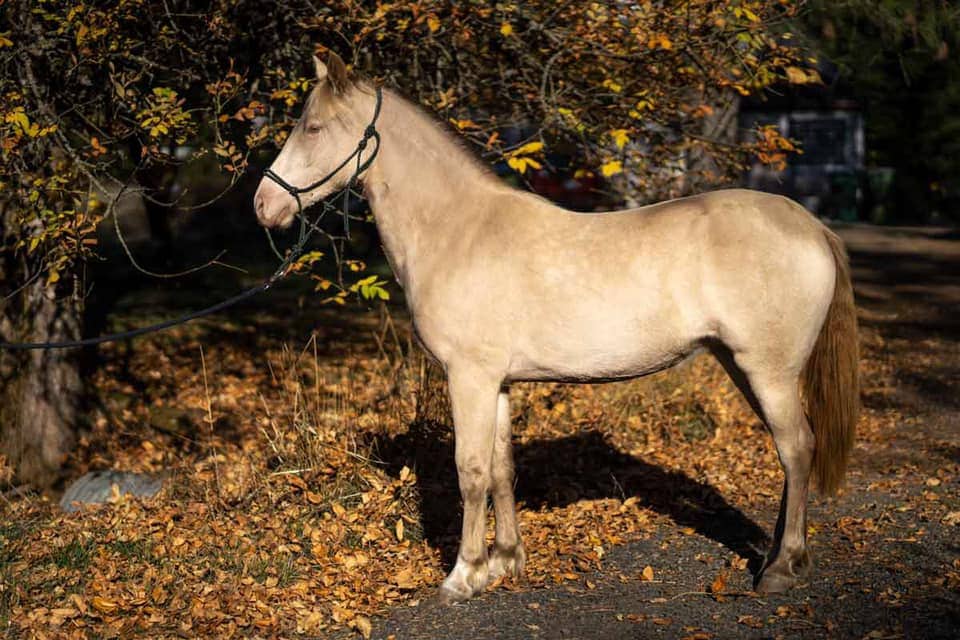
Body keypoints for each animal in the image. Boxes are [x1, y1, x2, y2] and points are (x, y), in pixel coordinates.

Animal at [251, 51, 860, 604]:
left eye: (312, 127)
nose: (263, 205)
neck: (457, 229)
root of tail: (810, 224)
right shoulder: (496, 382)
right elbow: (501, 469)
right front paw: (503, 562)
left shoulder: (468, 378)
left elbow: (471, 470)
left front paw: (461, 576)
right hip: (740, 365)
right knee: (790, 451)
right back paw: (783, 553)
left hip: (768, 371)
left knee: (797, 447)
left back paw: (781, 568)